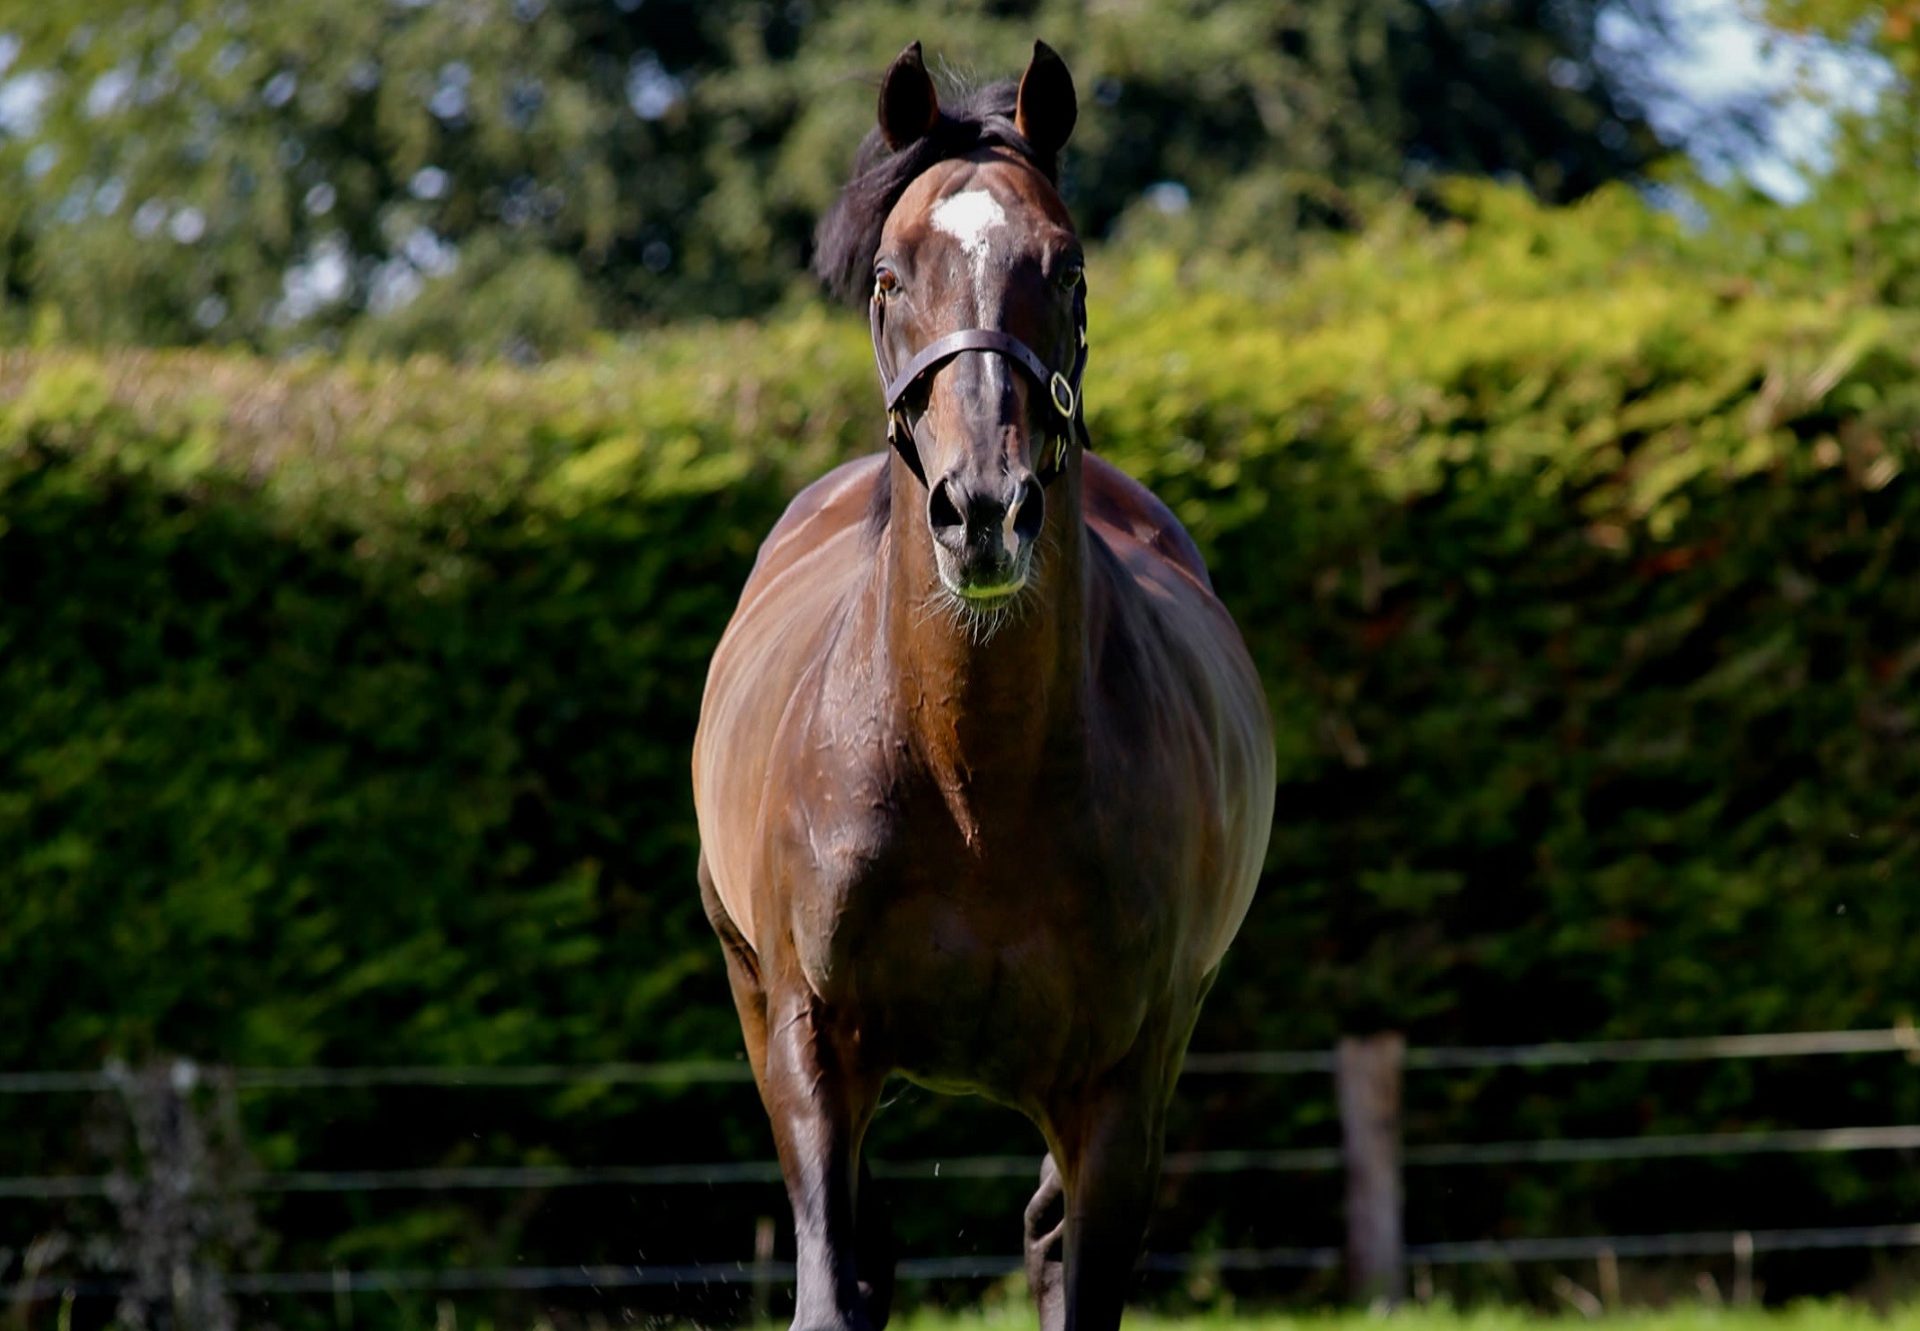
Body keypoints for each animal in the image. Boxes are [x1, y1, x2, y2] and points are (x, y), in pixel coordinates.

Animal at [691, 41, 1274, 1329]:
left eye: (1067, 269)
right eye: (888, 277)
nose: (985, 510)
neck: (970, 781)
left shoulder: (1121, 1081)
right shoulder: (812, 1044)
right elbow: (834, 1279)